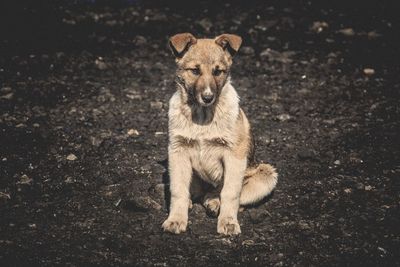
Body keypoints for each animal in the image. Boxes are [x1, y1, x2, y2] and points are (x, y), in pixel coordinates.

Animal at [161, 32, 276, 236]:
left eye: (218, 71)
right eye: (195, 70)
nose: (208, 98)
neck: (202, 116)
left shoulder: (234, 156)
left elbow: (231, 193)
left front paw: (228, 222)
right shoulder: (177, 151)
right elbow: (178, 190)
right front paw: (176, 219)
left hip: (267, 174)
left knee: (232, 196)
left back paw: (215, 203)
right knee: (195, 193)